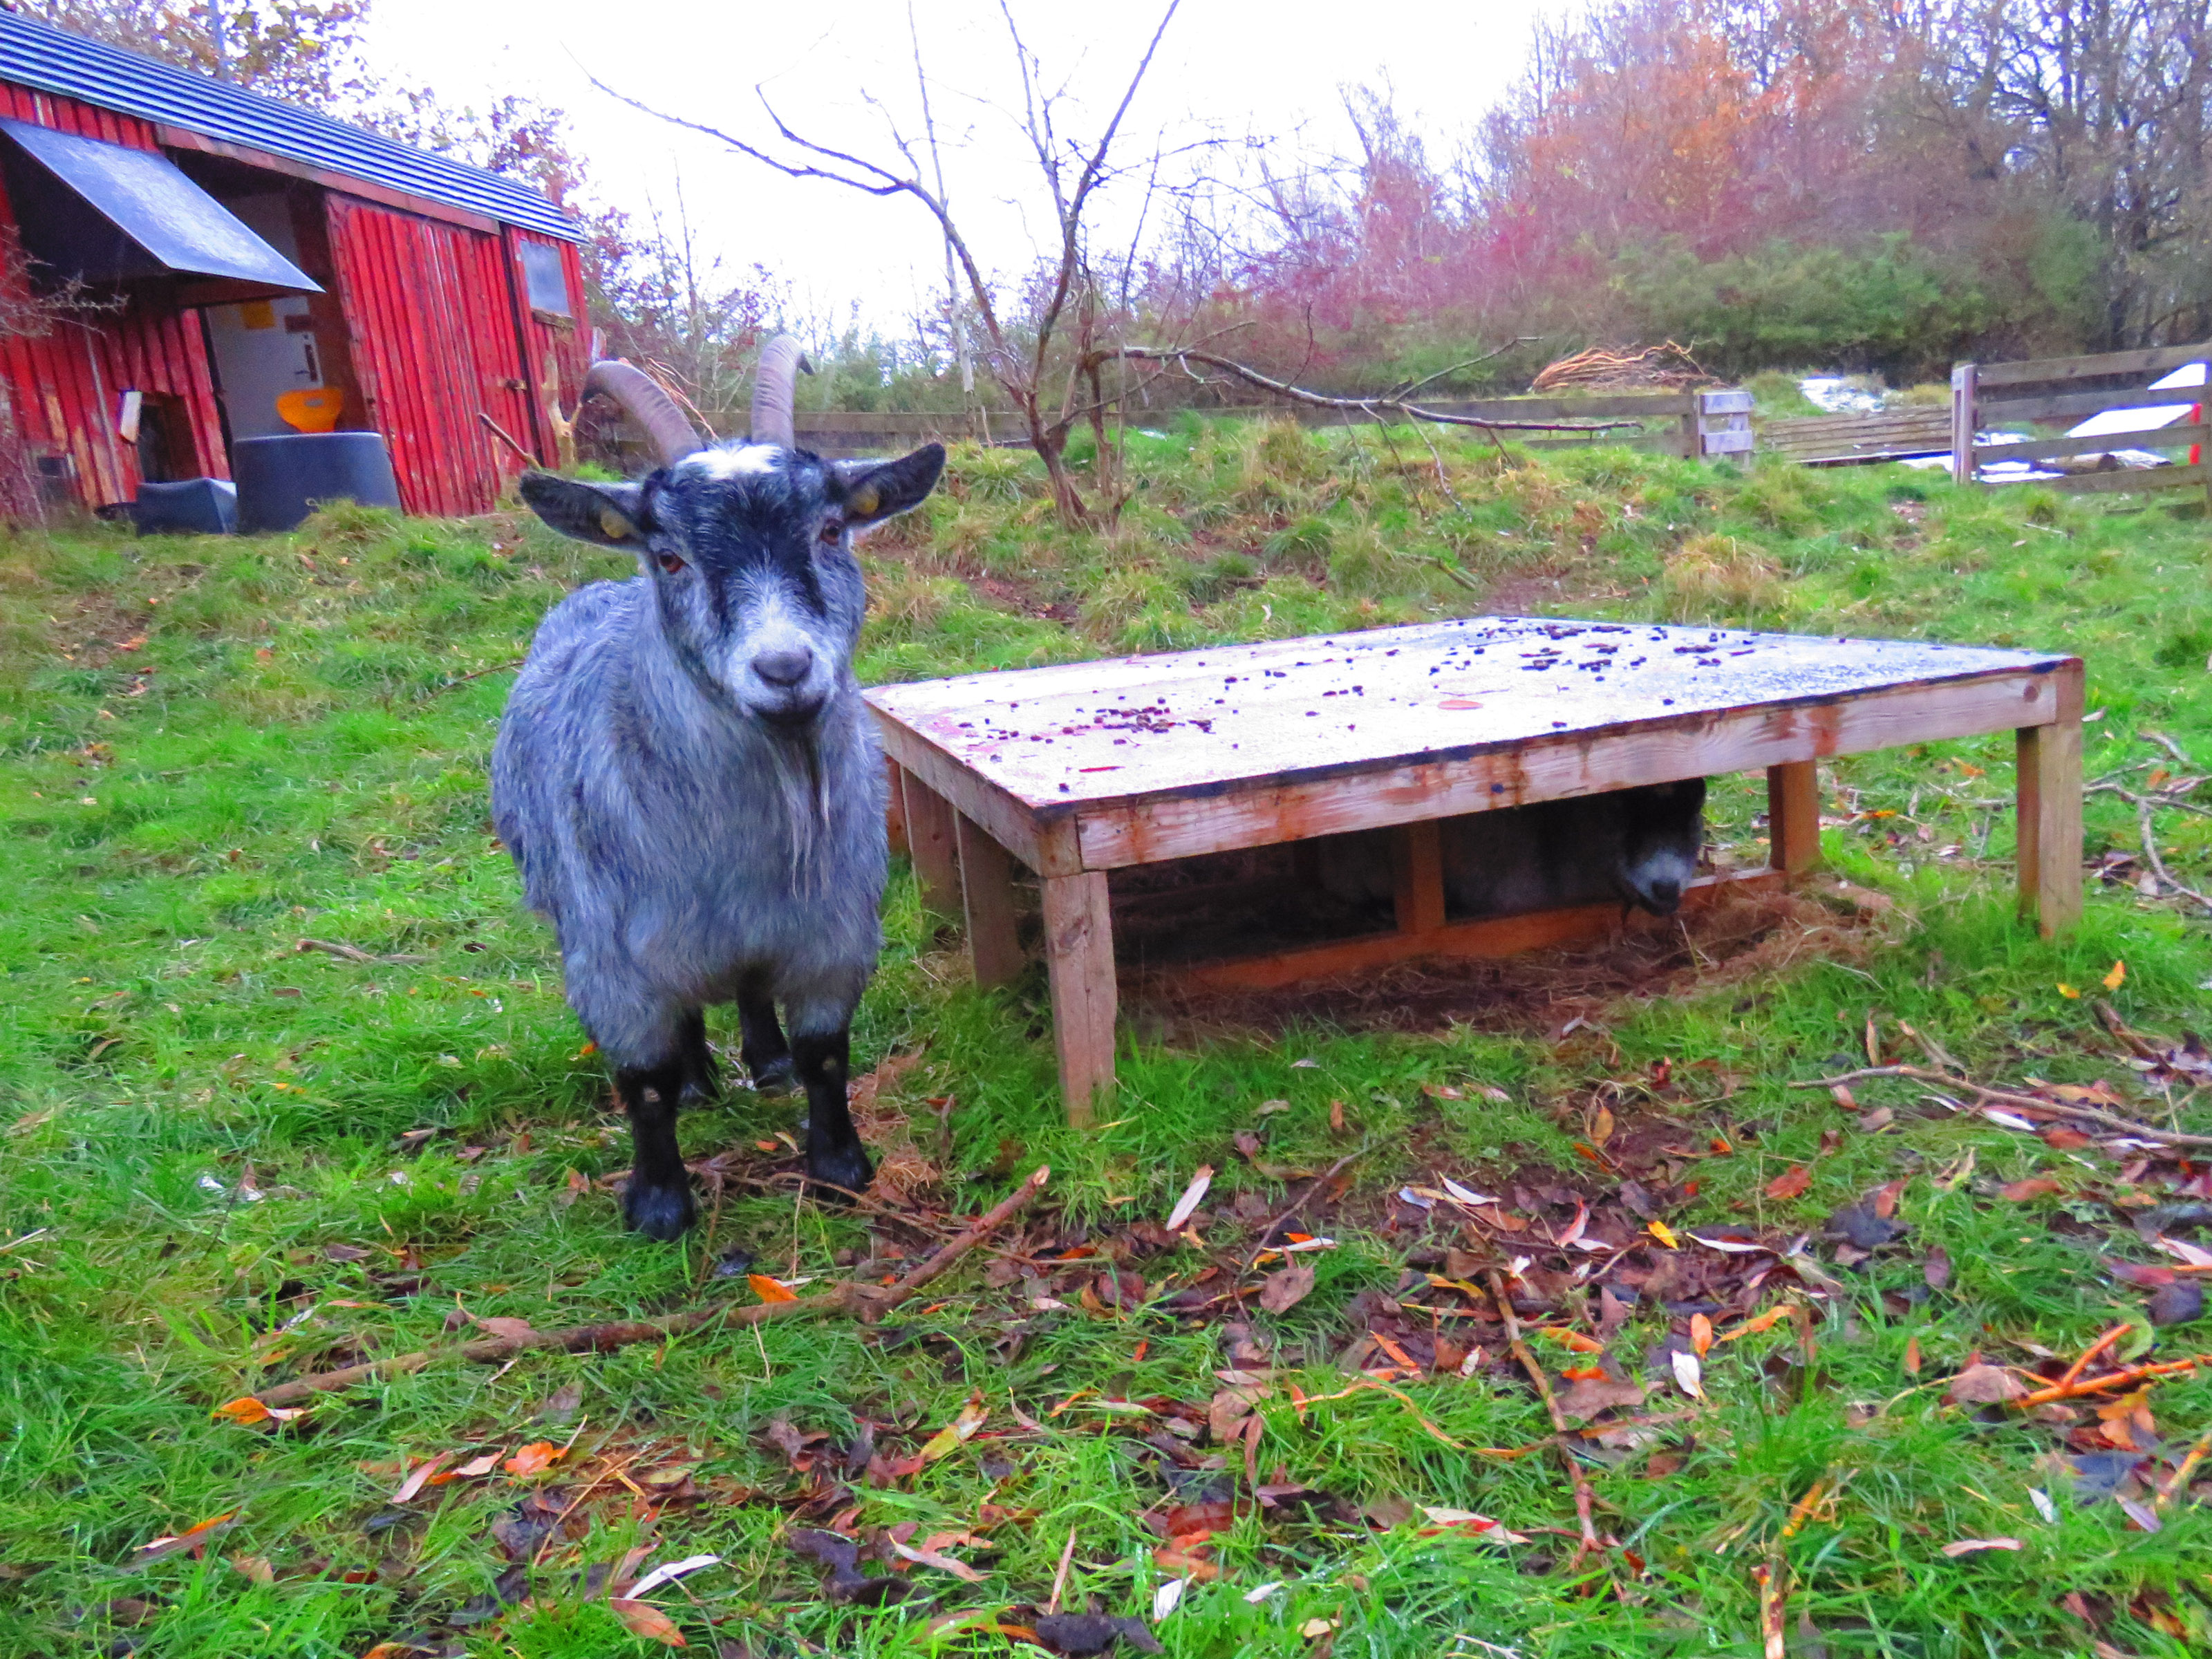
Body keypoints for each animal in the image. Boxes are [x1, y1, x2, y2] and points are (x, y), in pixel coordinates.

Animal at [493, 339, 945, 1239]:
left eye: (830, 529)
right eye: (669, 556)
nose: (785, 669)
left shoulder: (832, 931)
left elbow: (825, 1052)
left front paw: (839, 1165)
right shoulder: (612, 963)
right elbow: (645, 1082)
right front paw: (659, 1206)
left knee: (746, 987)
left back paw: (762, 1062)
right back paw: (704, 1079)